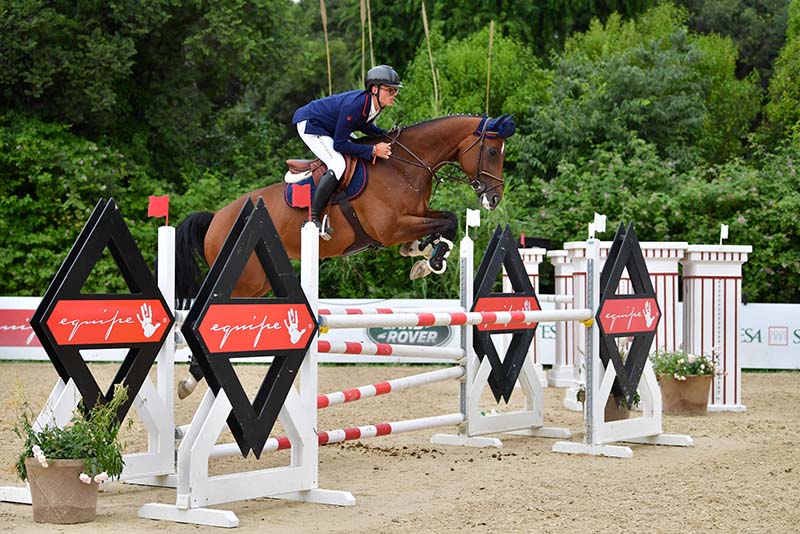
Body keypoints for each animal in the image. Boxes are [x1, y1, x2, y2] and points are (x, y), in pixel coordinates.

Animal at [172, 114, 516, 398]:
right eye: (492, 152)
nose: (494, 198)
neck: (405, 165)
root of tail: (216, 217)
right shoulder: (391, 227)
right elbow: (448, 222)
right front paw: (431, 259)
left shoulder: (412, 219)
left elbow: (447, 221)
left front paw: (424, 256)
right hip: (244, 282)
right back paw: (190, 380)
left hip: (257, 285)